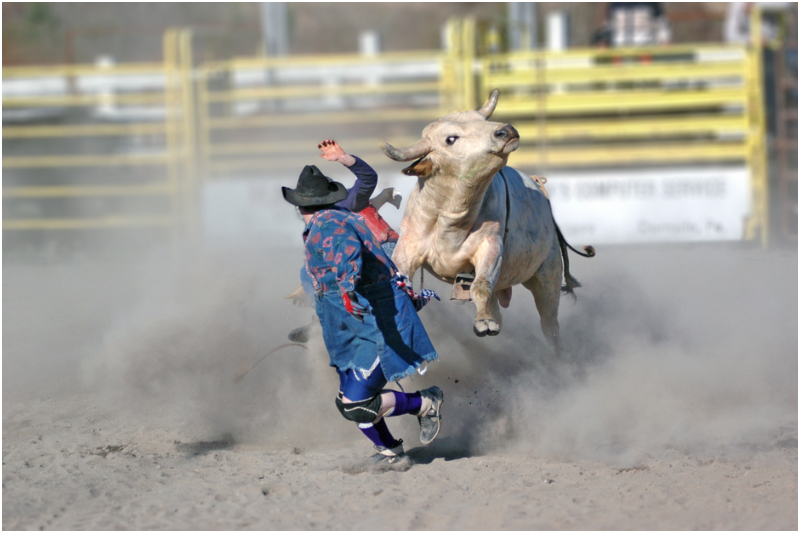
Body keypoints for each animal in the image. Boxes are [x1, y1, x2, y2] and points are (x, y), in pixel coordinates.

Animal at [378, 89, 592, 344]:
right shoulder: (408, 247)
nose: (505, 130)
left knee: (549, 323)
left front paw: (484, 322)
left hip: (547, 275)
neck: (451, 219)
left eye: (483, 120)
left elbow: (481, 286)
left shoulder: (490, 248)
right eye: (451, 139)